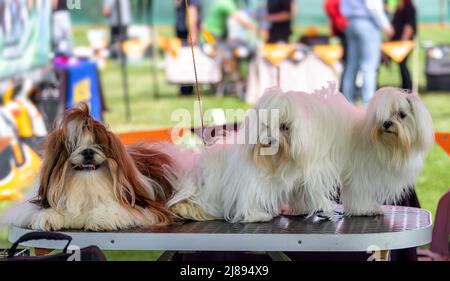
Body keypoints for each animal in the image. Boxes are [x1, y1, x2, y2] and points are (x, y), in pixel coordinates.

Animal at [5, 103, 174, 230]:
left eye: (98, 144)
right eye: (74, 146)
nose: (87, 151)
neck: (85, 184)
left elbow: (117, 210)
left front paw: (101, 218)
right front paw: (48, 216)